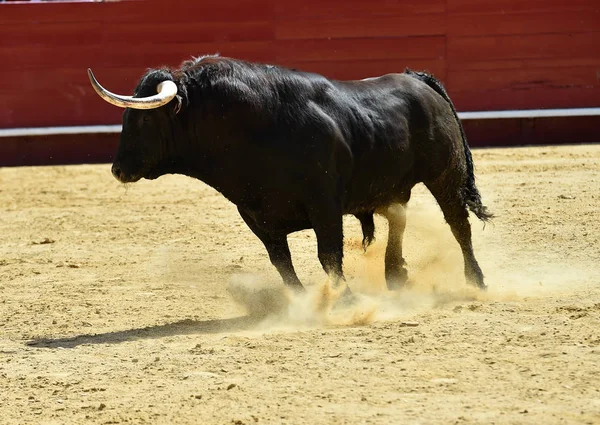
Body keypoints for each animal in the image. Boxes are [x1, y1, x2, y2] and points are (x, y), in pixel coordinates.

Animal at [89, 55, 492, 294]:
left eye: (143, 119)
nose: (117, 169)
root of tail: (419, 81)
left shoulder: (325, 205)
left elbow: (327, 255)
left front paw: (344, 299)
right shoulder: (256, 215)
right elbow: (281, 263)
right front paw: (300, 303)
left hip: (446, 175)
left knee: (458, 224)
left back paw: (476, 280)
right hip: (393, 184)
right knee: (399, 218)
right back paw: (395, 275)